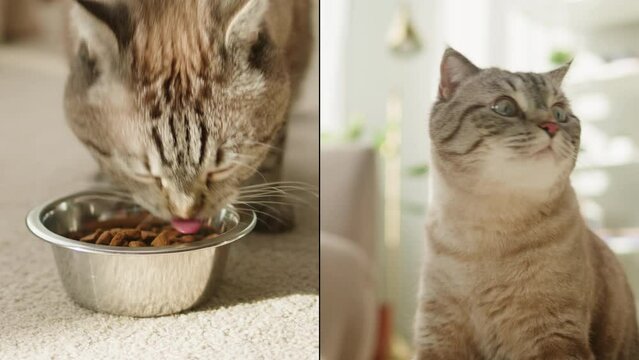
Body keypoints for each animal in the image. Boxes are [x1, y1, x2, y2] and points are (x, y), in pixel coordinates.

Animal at [416, 48, 639, 360]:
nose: (551, 126)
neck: (488, 231)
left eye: (560, 113)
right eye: (505, 107)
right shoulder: (437, 336)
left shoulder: (555, 337)